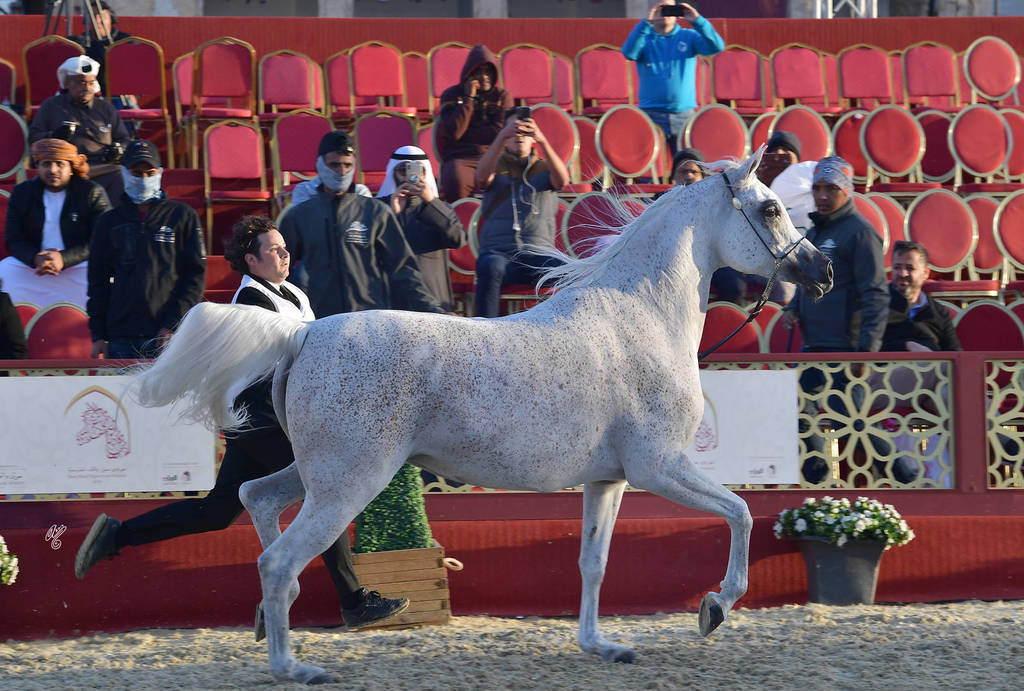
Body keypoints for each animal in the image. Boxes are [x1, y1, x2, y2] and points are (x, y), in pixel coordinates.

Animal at [132, 147, 832, 684]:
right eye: (770, 207)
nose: (822, 269)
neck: (645, 317)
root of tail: (301, 334)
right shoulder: (659, 467)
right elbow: (740, 513)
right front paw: (715, 608)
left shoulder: (609, 479)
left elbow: (594, 563)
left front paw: (602, 646)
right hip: (348, 483)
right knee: (278, 560)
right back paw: (294, 666)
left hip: (318, 475)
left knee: (256, 497)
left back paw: (266, 626)